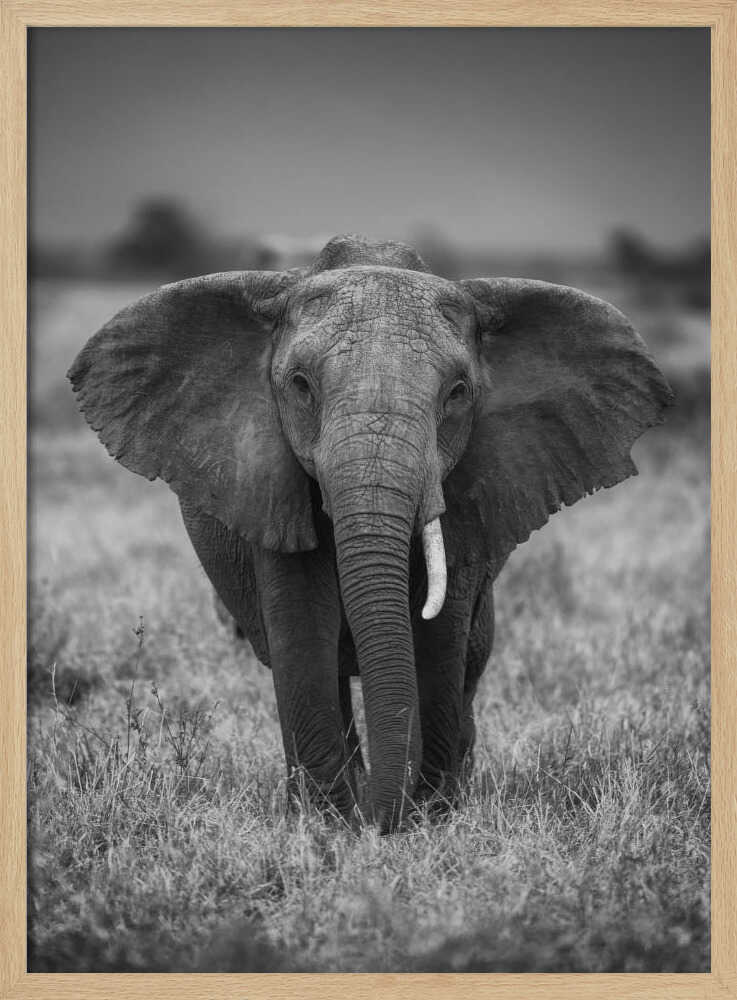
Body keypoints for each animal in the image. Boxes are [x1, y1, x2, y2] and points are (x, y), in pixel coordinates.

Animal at [68, 233, 673, 832]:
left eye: (457, 393)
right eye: (301, 386)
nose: (381, 821)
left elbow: (440, 636)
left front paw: (427, 816)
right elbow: (302, 629)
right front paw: (328, 824)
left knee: (471, 663)